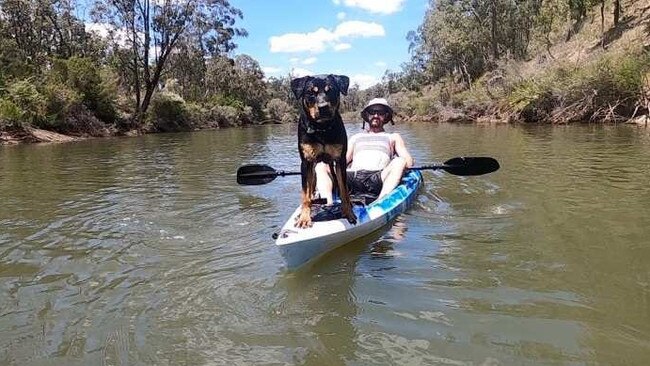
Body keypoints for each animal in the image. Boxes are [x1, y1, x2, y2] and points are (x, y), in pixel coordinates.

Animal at [292, 73, 356, 229]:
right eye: (311, 92)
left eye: (330, 90)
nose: (323, 107)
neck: (321, 129)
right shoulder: (306, 162)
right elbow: (305, 194)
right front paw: (304, 218)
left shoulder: (340, 160)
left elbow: (344, 191)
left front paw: (349, 213)